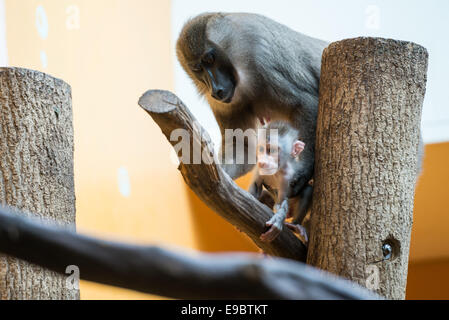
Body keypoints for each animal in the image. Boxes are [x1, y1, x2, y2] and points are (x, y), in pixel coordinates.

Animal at [174, 11, 326, 192]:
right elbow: (242, 145)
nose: (215, 89)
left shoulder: (263, 60)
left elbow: (306, 103)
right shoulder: (223, 104)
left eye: (209, 59)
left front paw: (303, 169)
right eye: (198, 69)